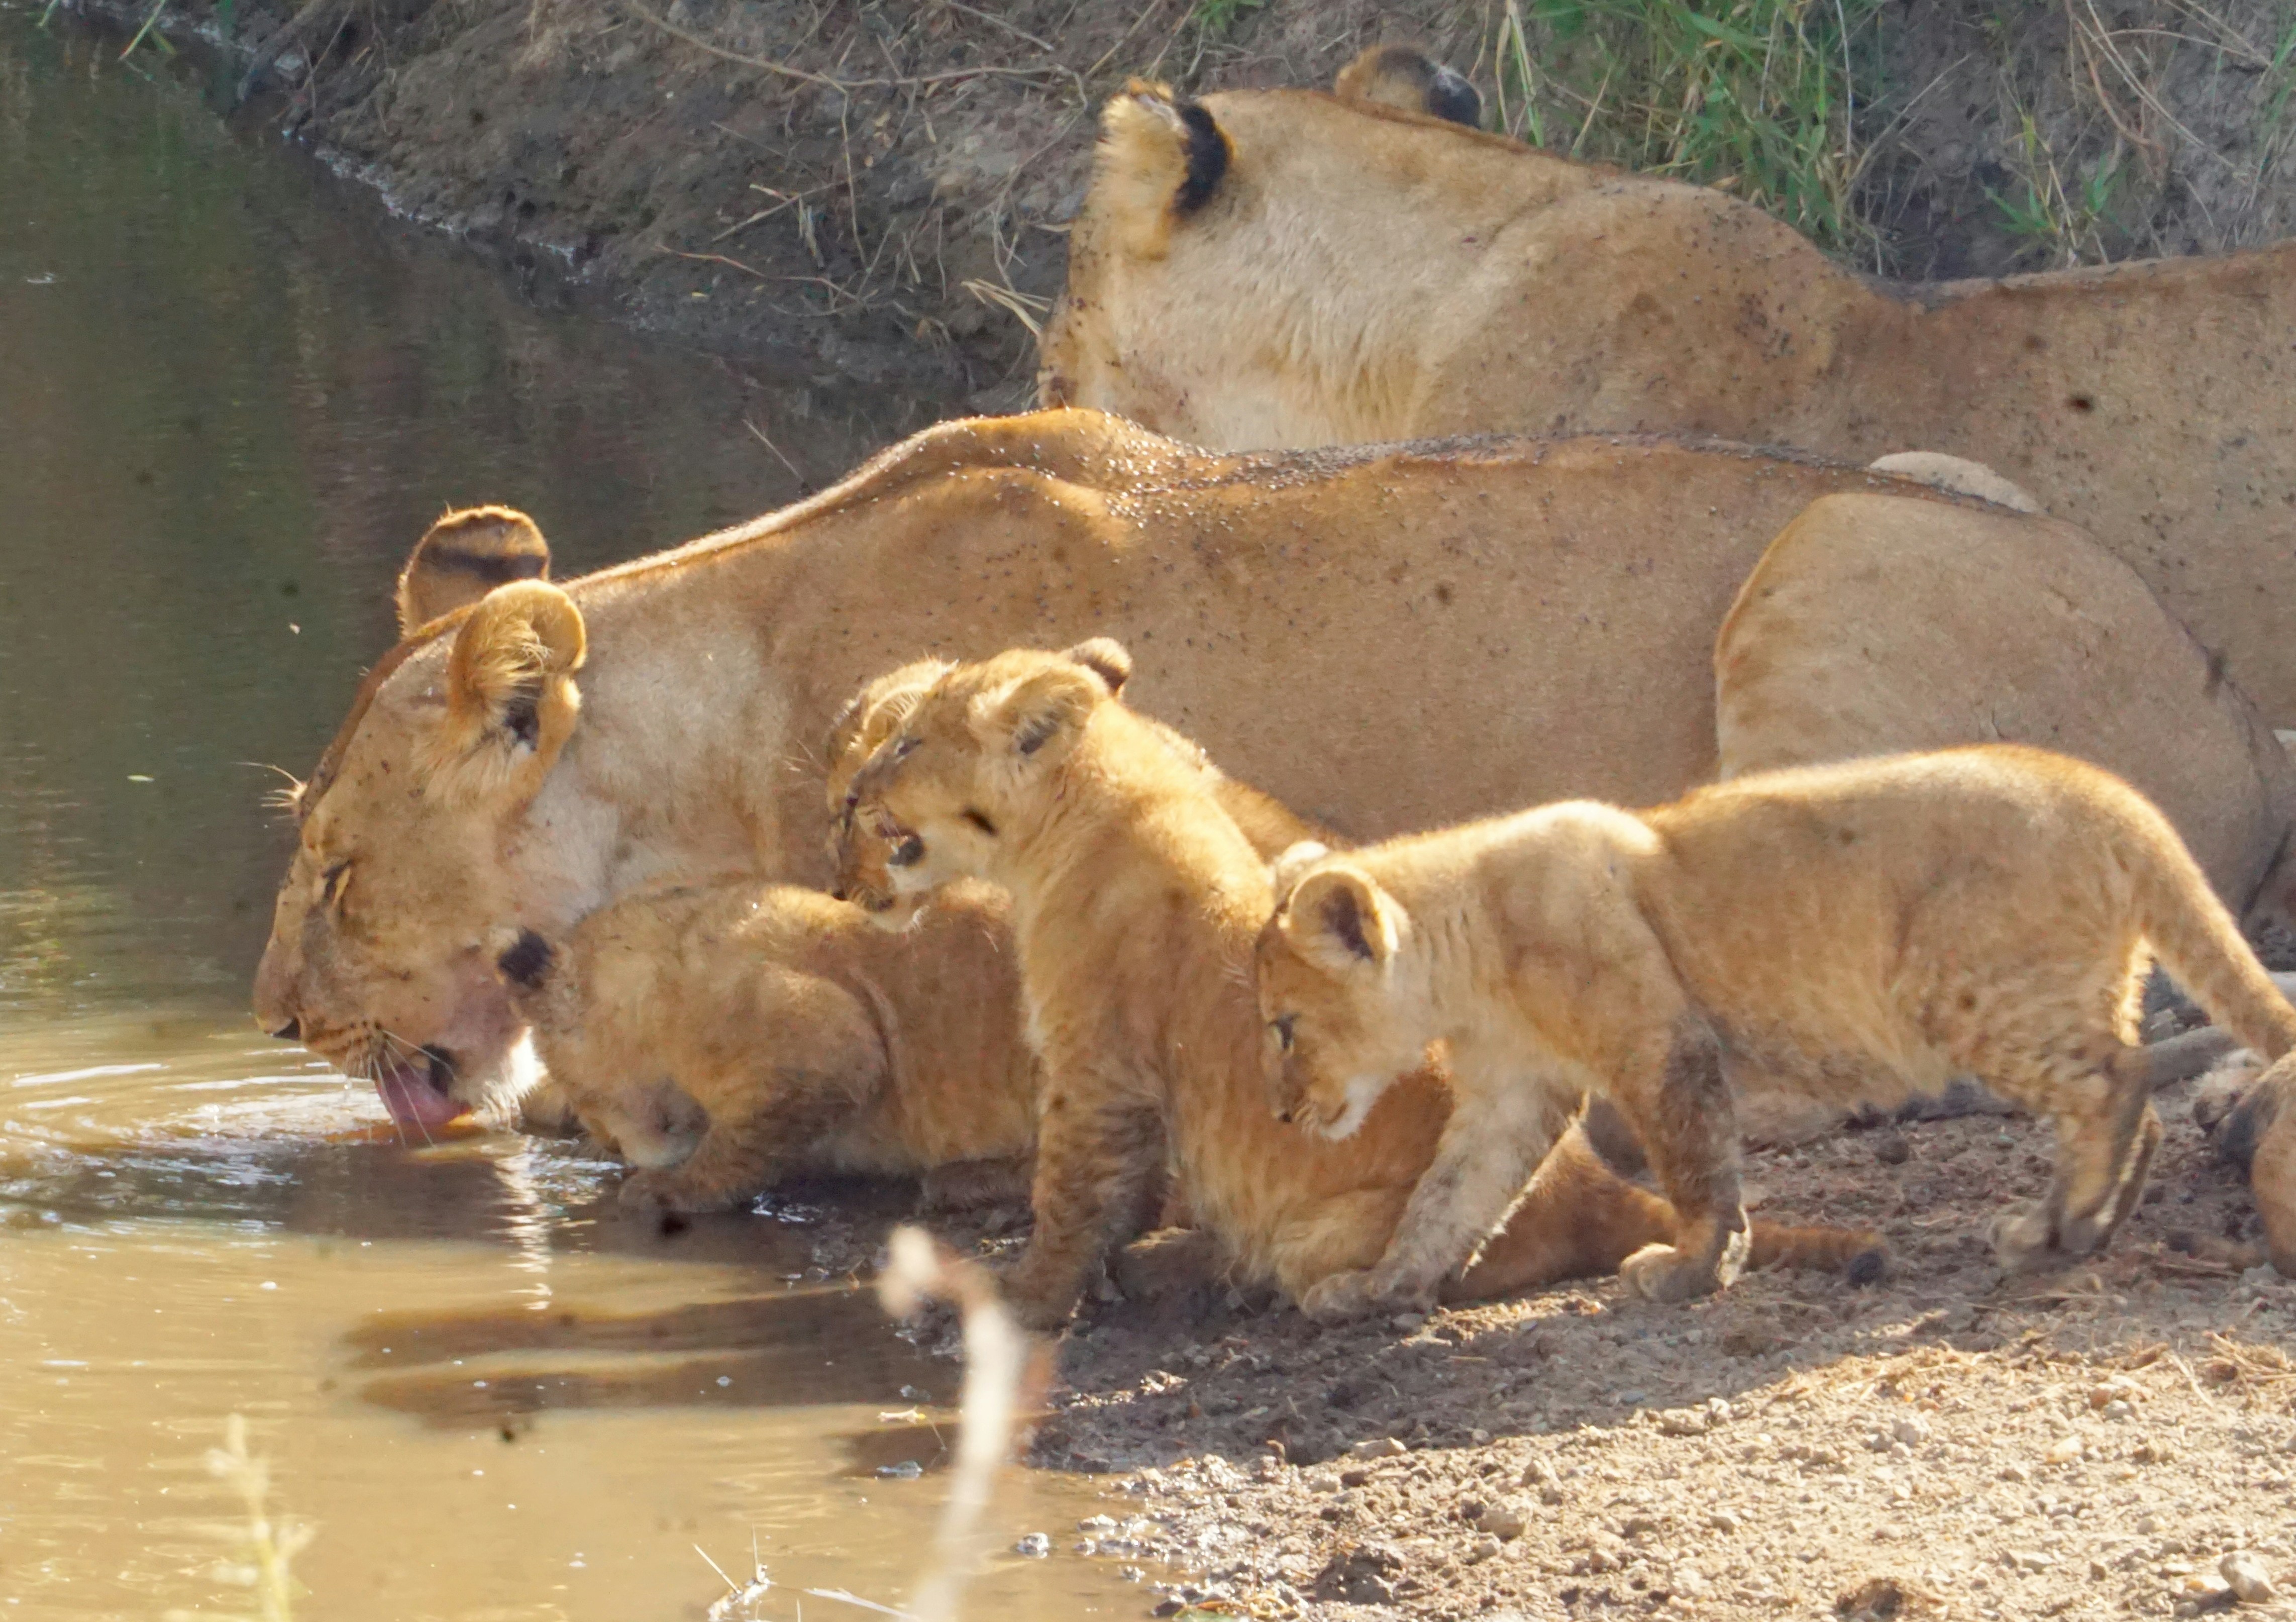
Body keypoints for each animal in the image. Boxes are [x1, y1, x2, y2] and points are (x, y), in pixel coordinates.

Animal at [487, 878, 1037, 1213]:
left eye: (578, 1087)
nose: (607, 1144)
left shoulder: (829, 1041)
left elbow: (740, 1141)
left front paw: (666, 1189)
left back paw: (967, 1180)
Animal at [836, 644, 1886, 1328]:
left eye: (909, 744)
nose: (853, 791)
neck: (1089, 813)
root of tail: (1597, 1189)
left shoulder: (1098, 1073)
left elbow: (1067, 1194)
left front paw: (1027, 1299)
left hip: (1328, 1228)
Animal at [1256, 746, 2296, 1318]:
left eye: (1283, 1028)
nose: (1282, 1114)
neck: (1469, 955)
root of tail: (2109, 795)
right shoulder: (1512, 1094)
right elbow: (1447, 1198)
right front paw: (1381, 1287)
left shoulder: (1660, 1040)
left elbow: (1695, 1165)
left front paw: (1693, 1268)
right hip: (2075, 985)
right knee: (2139, 1093)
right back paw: (2088, 1224)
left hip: (1964, 987)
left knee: (2114, 1082)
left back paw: (2055, 1227)